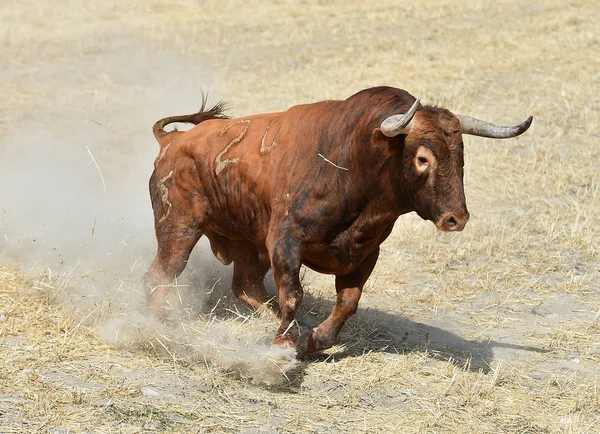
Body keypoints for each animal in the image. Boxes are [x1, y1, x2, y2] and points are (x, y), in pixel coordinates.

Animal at [146, 86, 536, 354]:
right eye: (423, 158)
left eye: (461, 154)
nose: (457, 218)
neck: (351, 164)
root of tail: (172, 141)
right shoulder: (284, 241)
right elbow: (293, 294)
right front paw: (284, 347)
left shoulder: (366, 251)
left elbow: (348, 301)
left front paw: (314, 339)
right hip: (178, 227)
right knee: (162, 273)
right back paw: (155, 323)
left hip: (244, 240)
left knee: (246, 285)